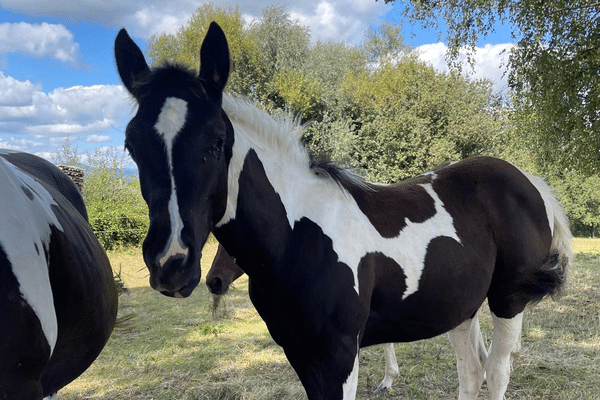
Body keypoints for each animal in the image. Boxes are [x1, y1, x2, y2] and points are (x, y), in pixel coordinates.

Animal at [116, 22, 572, 400]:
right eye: (131, 145)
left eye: (215, 141)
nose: (172, 264)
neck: (298, 239)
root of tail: (531, 182)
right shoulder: (300, 354)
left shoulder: (339, 355)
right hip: (460, 306)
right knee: (472, 374)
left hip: (508, 299)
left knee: (495, 374)